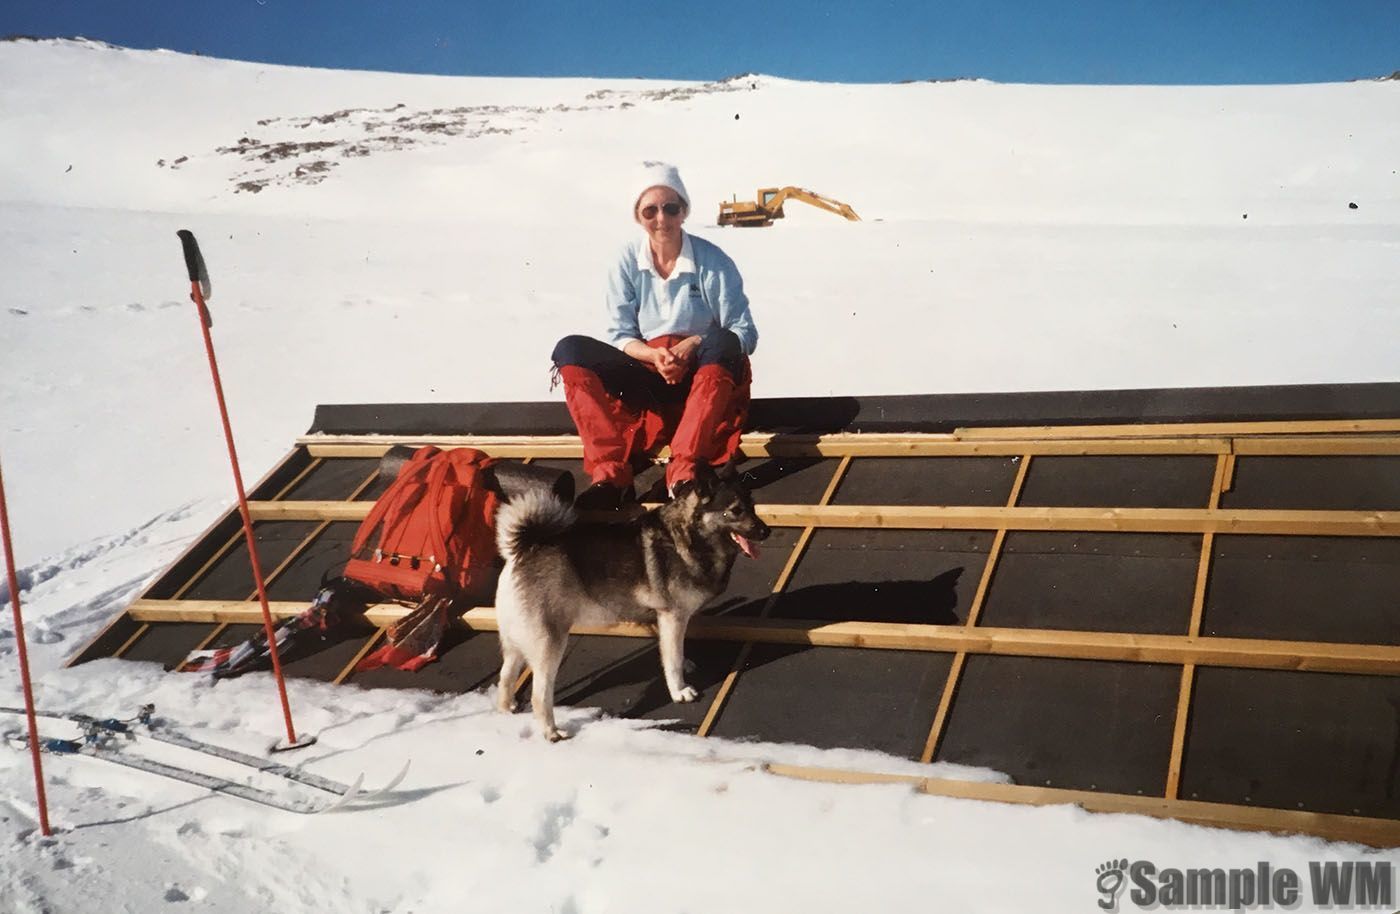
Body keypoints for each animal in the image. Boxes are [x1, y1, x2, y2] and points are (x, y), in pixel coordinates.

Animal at [492, 467, 772, 739]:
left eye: (753, 505)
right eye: (735, 510)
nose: (766, 531)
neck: (689, 536)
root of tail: (523, 549)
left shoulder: (665, 620)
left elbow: (673, 653)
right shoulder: (672, 616)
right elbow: (672, 659)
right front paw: (679, 691)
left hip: (516, 643)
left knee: (505, 676)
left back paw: (506, 709)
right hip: (550, 645)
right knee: (539, 696)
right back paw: (552, 731)